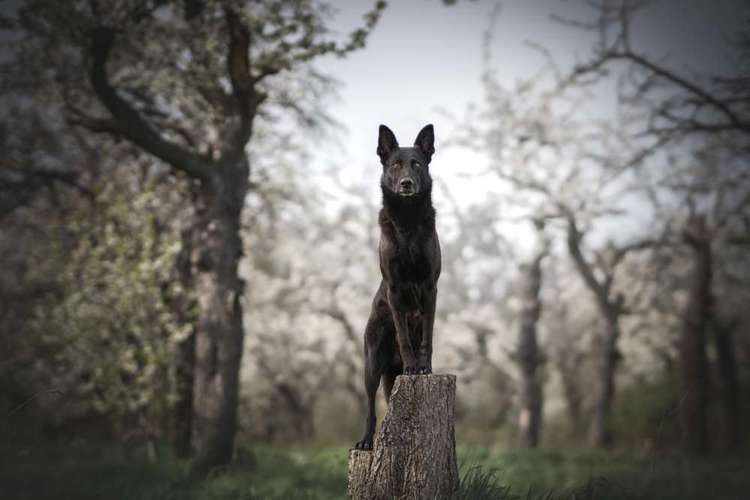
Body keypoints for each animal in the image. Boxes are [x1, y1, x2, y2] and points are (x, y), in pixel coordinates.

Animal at [356, 124, 444, 450]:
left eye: (416, 164)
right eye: (395, 164)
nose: (406, 183)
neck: (407, 221)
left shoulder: (430, 288)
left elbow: (426, 337)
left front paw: (423, 367)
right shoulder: (394, 290)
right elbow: (405, 336)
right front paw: (412, 365)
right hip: (372, 364)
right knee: (370, 406)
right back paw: (366, 440)